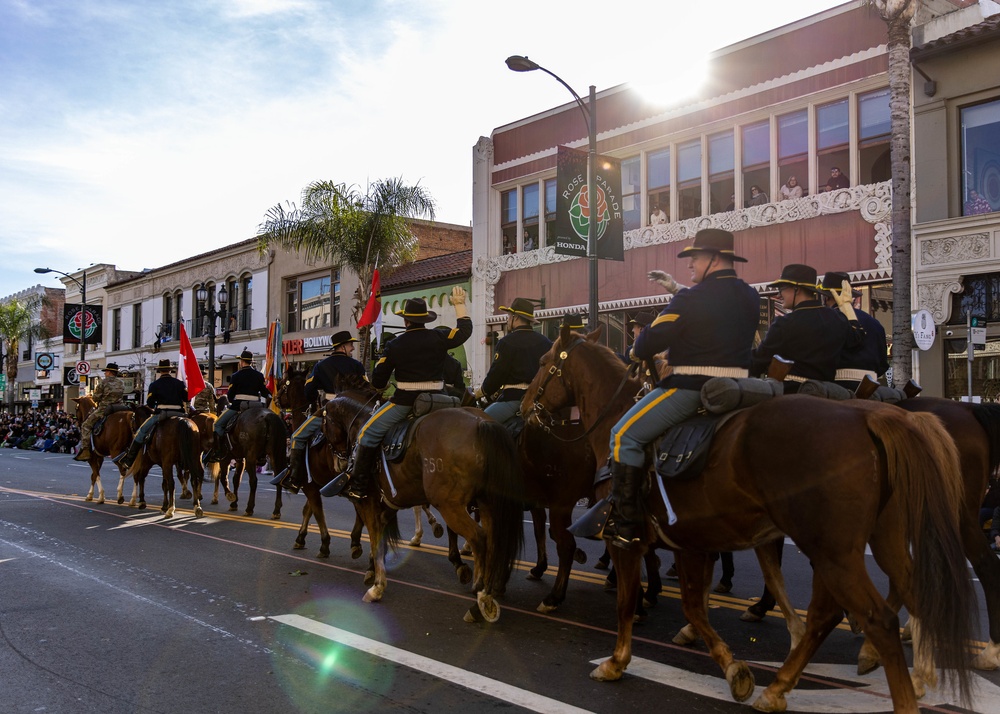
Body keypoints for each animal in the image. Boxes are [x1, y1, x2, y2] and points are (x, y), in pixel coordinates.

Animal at [322, 386, 528, 620]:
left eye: (325, 424)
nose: (339, 464)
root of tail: (481, 422)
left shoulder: (368, 502)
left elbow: (375, 537)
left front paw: (377, 585)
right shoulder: (388, 505)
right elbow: (382, 535)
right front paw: (373, 569)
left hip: (450, 506)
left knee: (480, 539)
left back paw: (481, 598)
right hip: (487, 503)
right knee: (494, 541)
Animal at [524, 326, 976, 712]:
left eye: (545, 361)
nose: (528, 407)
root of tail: (868, 417)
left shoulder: (626, 540)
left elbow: (628, 601)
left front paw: (617, 661)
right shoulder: (689, 542)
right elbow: (694, 606)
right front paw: (733, 668)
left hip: (833, 551)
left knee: (871, 618)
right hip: (881, 540)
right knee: (889, 598)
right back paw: (790, 685)